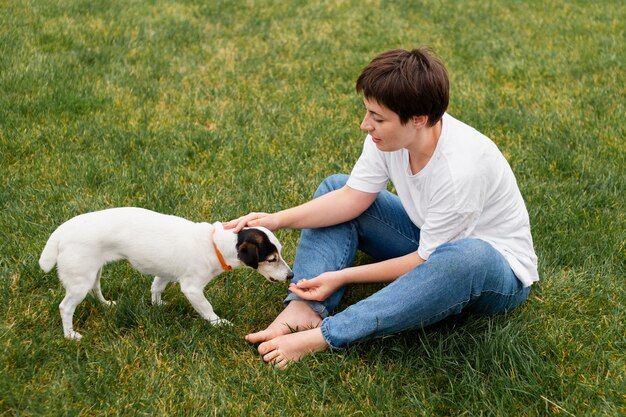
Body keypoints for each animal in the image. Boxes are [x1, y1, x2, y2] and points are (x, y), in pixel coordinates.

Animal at [39, 206, 292, 340]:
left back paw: (106, 304)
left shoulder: (165, 273)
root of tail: (63, 231)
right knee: (65, 307)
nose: (290, 276)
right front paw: (219, 323)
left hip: (92, 272)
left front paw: (157, 305)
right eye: (272, 259)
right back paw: (70, 335)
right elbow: (207, 308)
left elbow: (156, 287)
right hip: (80, 279)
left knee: (95, 288)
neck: (216, 244)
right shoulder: (192, 288)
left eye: (280, 253)